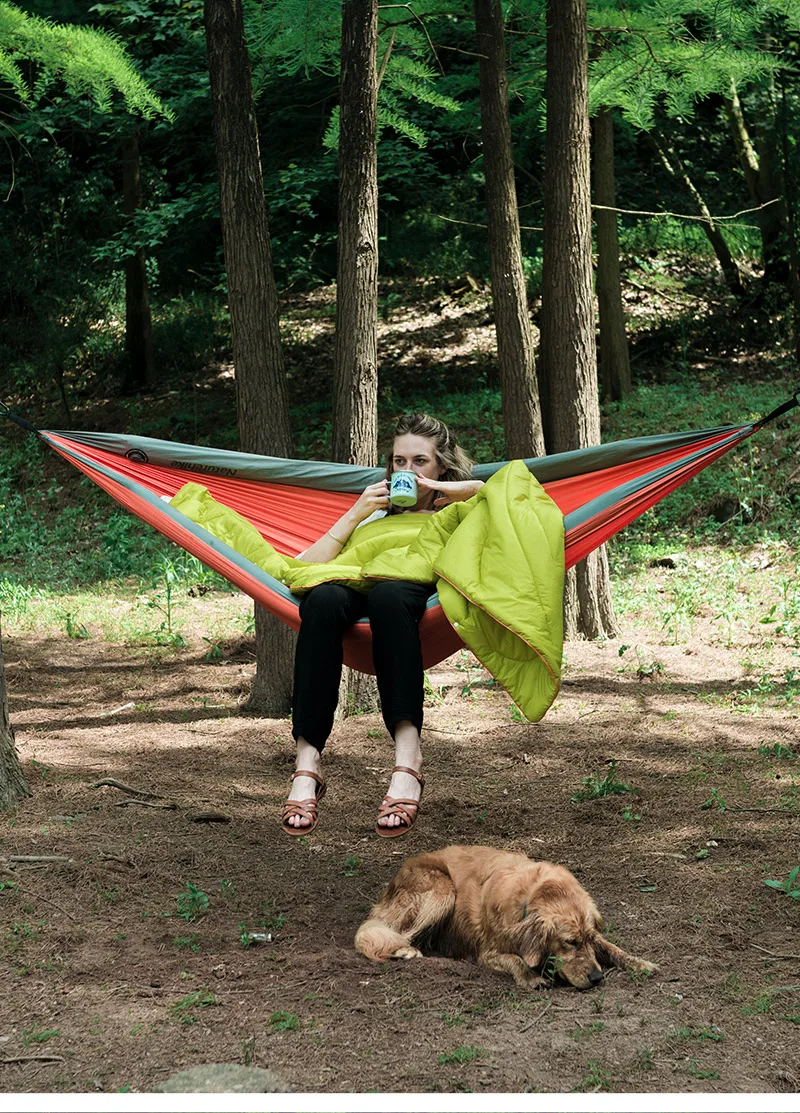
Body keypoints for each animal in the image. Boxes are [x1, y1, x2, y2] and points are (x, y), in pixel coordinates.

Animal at [356, 841, 658, 992]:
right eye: (569, 942)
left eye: (589, 939)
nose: (597, 978)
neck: (534, 894)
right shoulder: (487, 952)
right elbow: (515, 959)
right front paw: (531, 977)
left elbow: (613, 948)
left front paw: (639, 962)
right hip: (442, 891)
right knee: (388, 933)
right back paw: (405, 950)